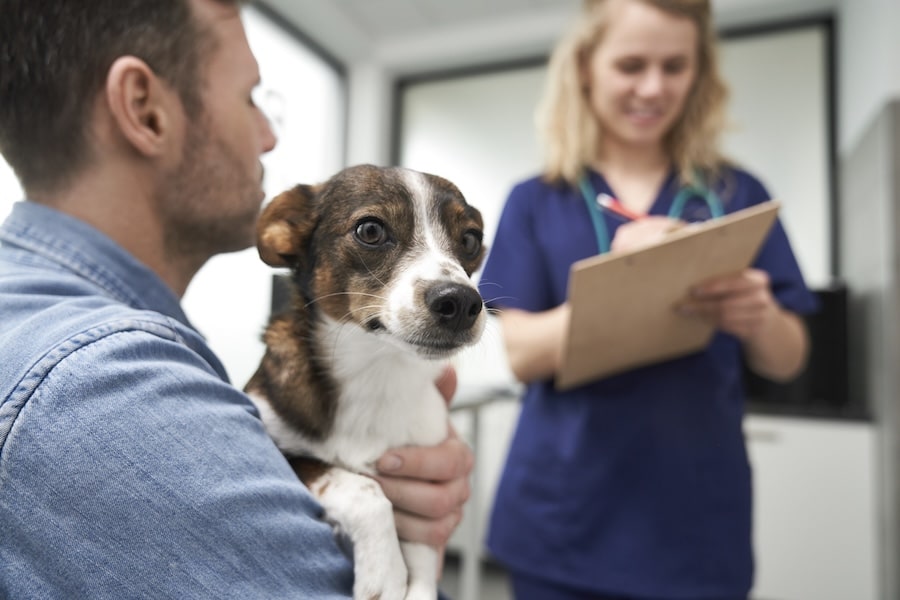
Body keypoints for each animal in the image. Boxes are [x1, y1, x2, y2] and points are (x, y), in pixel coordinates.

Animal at [244, 164, 486, 600]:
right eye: (370, 230)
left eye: (471, 239)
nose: (461, 302)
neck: (376, 372)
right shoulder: (282, 449)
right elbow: (365, 490)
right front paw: (386, 573)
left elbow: (424, 560)